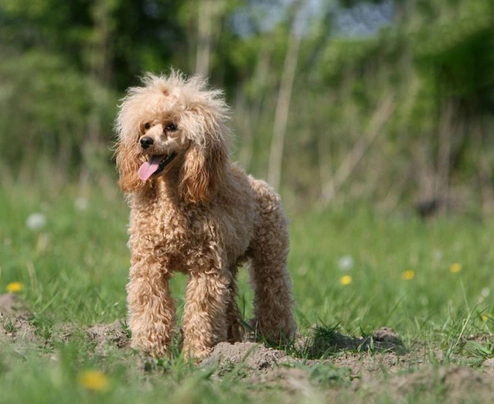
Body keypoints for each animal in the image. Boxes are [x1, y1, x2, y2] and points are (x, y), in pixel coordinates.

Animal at [114, 71, 296, 358]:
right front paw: (149, 353)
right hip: (229, 266)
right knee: (230, 302)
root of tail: (263, 185)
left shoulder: (206, 269)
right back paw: (231, 342)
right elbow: (150, 305)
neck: (173, 201)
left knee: (274, 293)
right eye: (146, 125)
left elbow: (201, 312)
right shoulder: (149, 264)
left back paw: (277, 340)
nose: (145, 142)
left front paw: (195, 356)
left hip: (270, 257)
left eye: (172, 126)